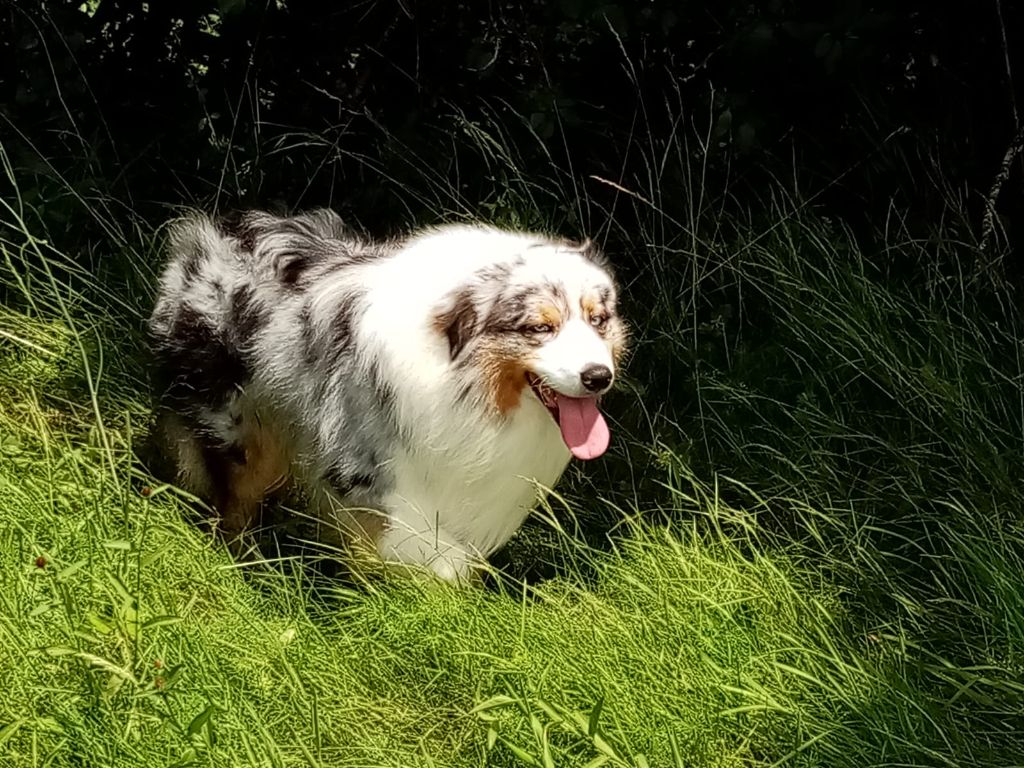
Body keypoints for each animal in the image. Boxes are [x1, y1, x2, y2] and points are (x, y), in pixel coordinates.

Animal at [144, 210, 622, 581]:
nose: (598, 377)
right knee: (232, 508)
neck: (462, 381)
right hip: (236, 432)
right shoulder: (366, 470)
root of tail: (204, 238)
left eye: (599, 320)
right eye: (540, 327)